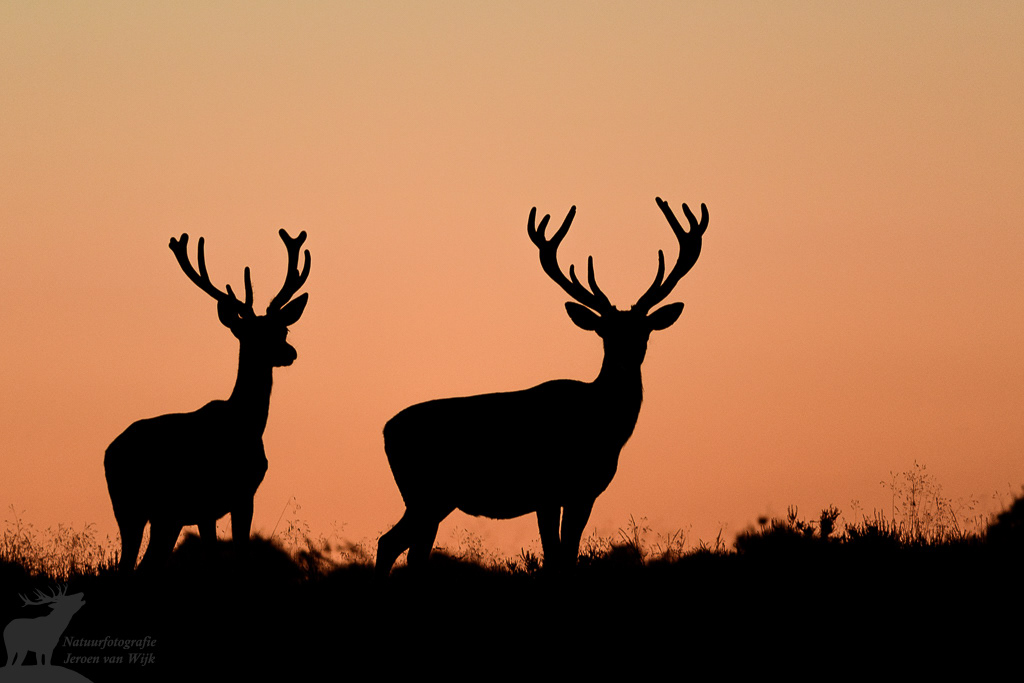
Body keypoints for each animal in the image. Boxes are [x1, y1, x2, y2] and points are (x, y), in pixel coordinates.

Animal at [104, 229, 310, 572]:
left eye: (282, 329)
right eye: (250, 334)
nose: (290, 353)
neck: (246, 425)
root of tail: (108, 453)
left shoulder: (226, 501)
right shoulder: (225, 498)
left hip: (161, 515)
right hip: (133, 507)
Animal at [375, 197, 709, 575]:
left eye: (644, 331)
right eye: (604, 332)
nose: (625, 361)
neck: (602, 426)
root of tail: (386, 430)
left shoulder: (584, 492)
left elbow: (569, 553)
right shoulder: (547, 488)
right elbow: (554, 555)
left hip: (432, 498)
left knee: (406, 549)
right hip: (426, 492)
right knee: (390, 543)